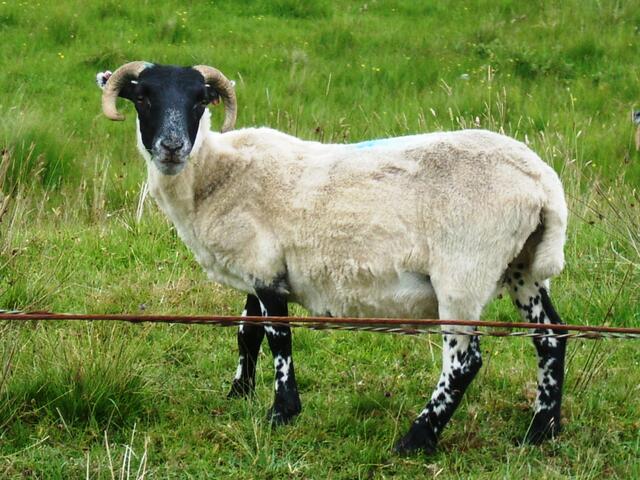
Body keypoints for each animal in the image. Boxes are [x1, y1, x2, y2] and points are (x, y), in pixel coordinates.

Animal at [96, 61, 569, 455]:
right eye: (143, 97)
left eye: (199, 100)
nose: (172, 146)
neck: (214, 175)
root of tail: (542, 182)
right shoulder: (257, 266)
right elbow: (247, 334)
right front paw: (238, 394)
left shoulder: (264, 269)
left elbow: (278, 338)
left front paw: (282, 412)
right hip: (522, 265)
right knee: (552, 337)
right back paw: (540, 431)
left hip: (464, 271)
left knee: (463, 363)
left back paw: (416, 439)